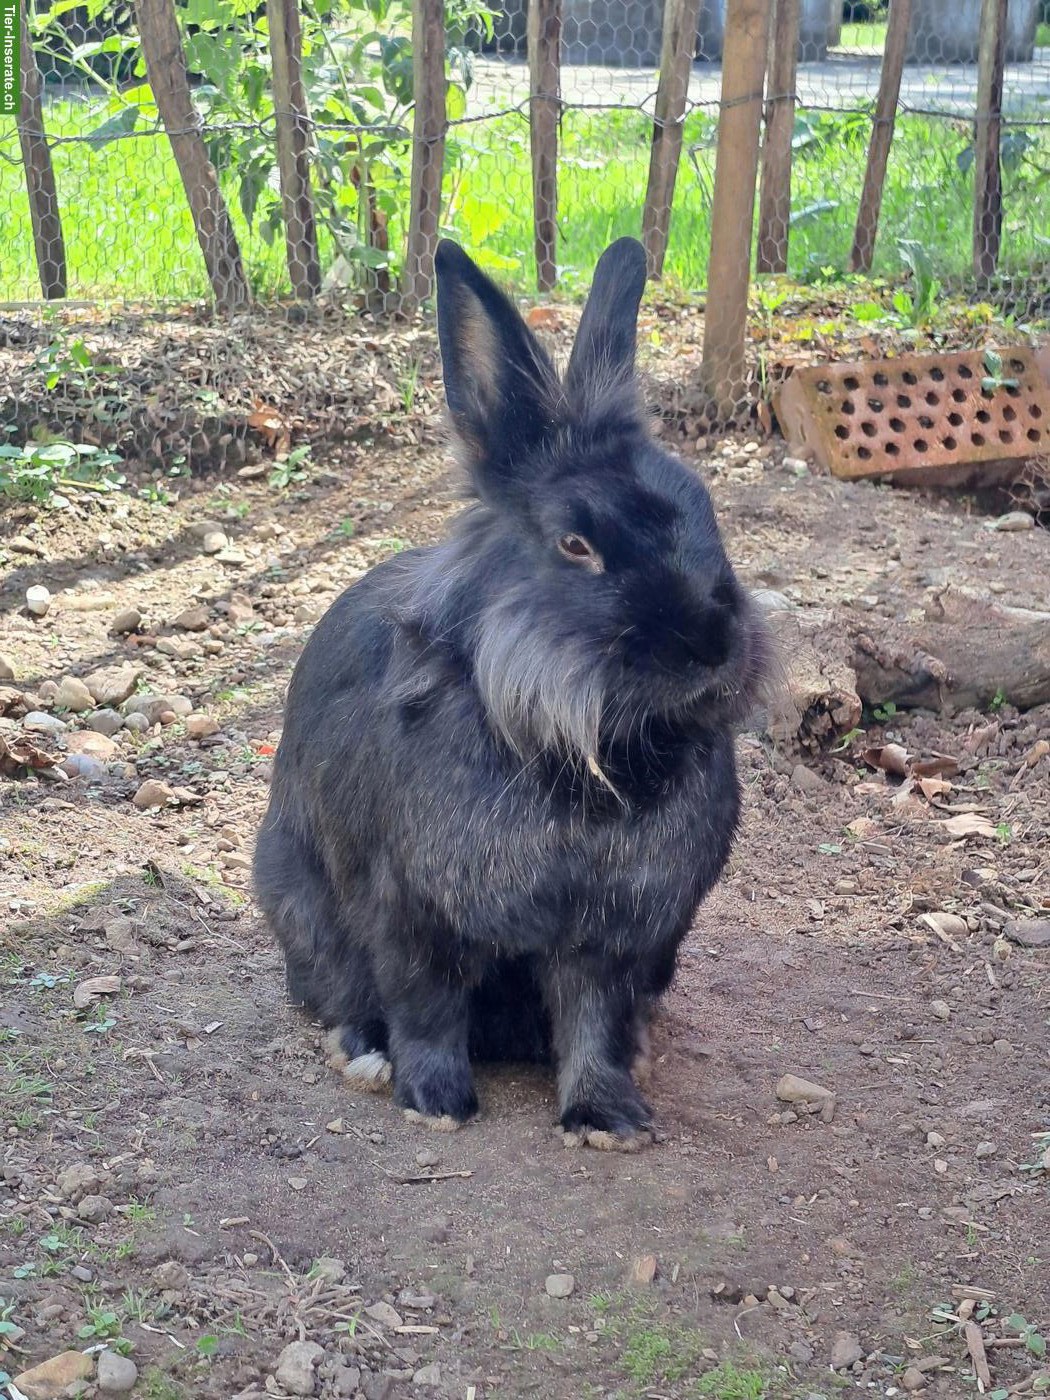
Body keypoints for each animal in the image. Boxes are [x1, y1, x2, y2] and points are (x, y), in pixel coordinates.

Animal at [254, 236, 769, 1151]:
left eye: (705, 510)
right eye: (575, 544)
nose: (714, 647)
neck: (589, 749)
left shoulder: (615, 941)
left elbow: (594, 1024)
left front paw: (607, 1120)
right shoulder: (409, 909)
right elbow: (425, 1010)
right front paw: (435, 1101)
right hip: (300, 907)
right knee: (340, 993)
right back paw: (364, 1054)